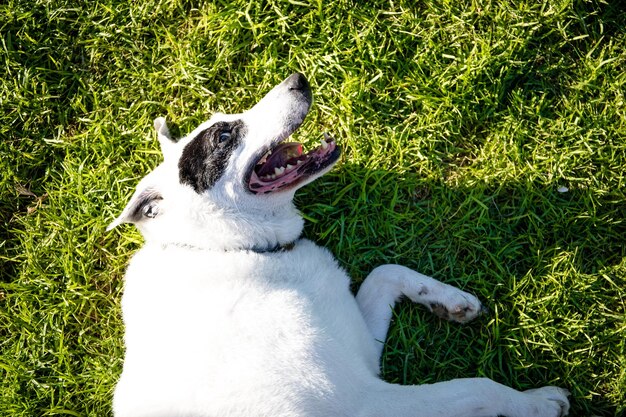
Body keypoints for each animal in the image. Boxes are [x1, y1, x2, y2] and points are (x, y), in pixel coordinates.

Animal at [109, 73, 568, 414]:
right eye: (223, 137)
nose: (298, 78)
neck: (233, 249)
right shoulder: (367, 400)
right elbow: (477, 387)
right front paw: (537, 402)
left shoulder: (361, 348)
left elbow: (385, 271)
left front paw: (451, 301)